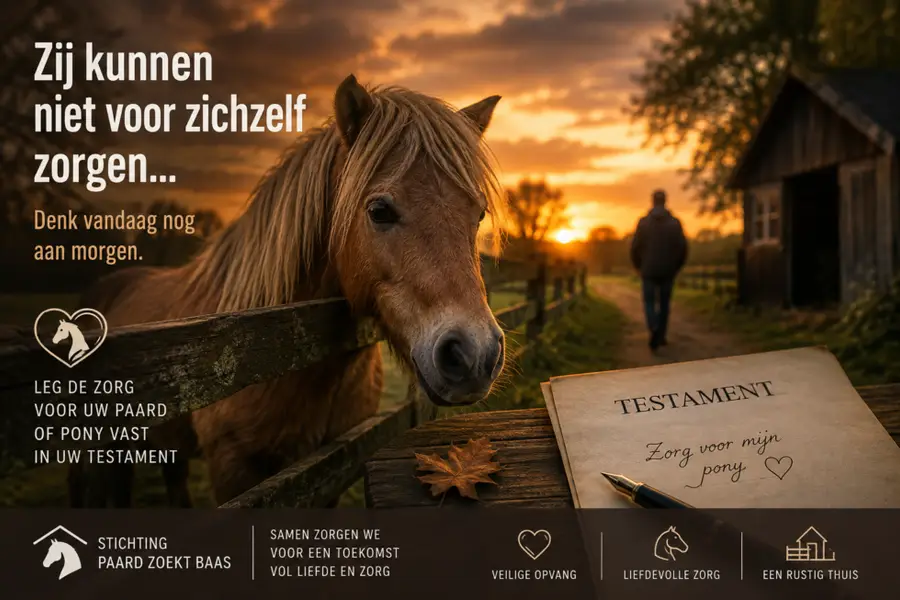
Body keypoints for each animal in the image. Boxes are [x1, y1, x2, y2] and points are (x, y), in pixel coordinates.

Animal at [68, 74, 508, 507]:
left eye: (478, 213)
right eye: (379, 210)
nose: (474, 355)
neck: (277, 346)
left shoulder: (329, 469)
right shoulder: (233, 467)